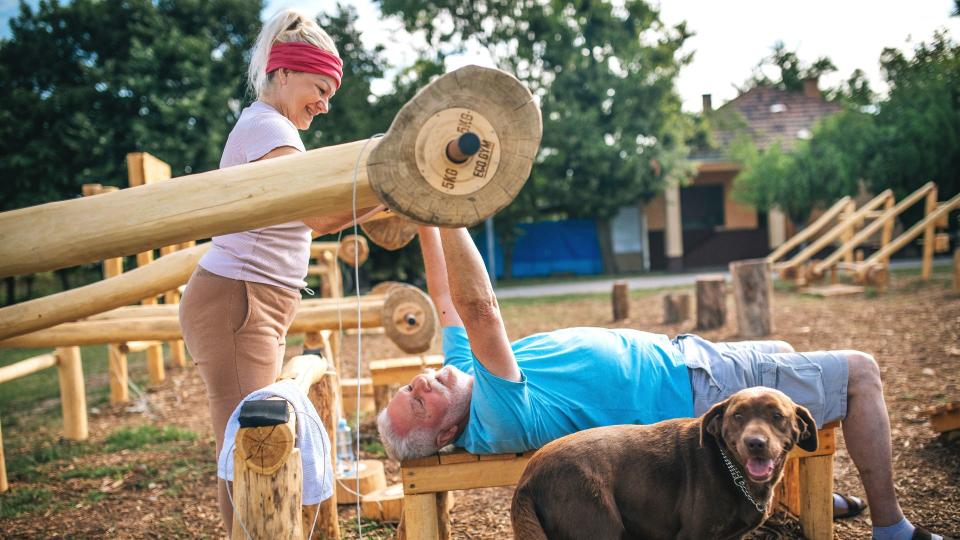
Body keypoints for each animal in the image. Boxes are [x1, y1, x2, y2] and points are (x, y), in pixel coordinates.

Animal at [510, 388, 816, 540]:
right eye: (737, 416)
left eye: (777, 416)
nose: (755, 443)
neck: (732, 471)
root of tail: (527, 478)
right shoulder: (692, 536)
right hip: (597, 527)